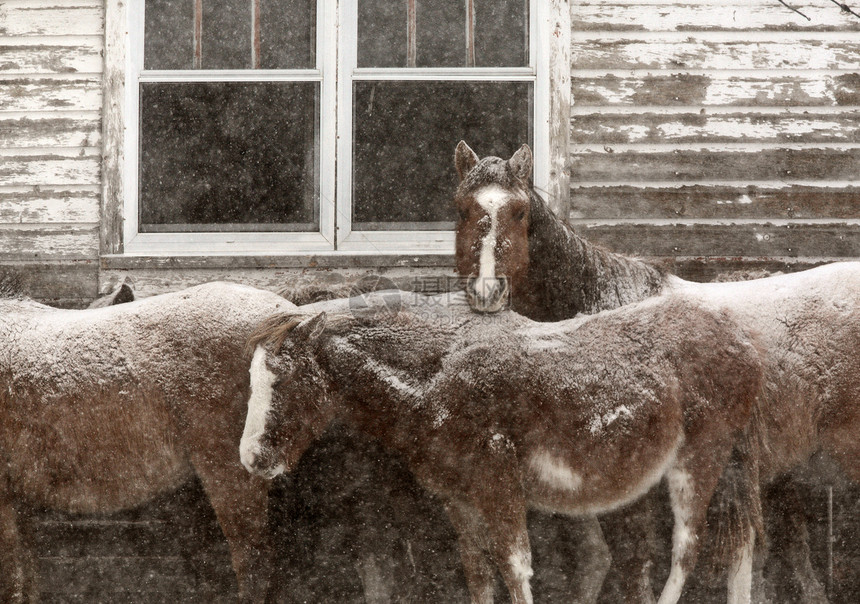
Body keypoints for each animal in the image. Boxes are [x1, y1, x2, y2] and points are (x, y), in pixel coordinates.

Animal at [239, 294, 764, 604]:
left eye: (283, 380)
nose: (252, 458)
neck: (434, 382)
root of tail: (740, 340)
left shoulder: (500, 490)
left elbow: (515, 570)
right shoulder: (461, 501)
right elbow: (479, 575)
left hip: (699, 462)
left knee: (687, 551)